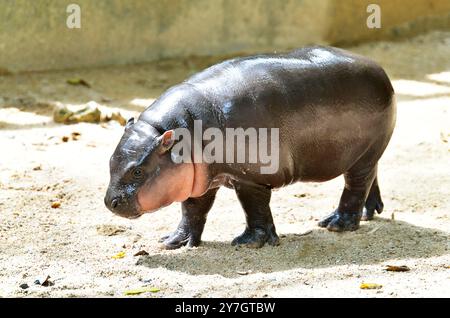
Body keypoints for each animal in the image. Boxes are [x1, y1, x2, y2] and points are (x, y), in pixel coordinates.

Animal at [103, 47, 396, 250]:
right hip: (363, 154)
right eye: (110, 161)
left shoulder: (250, 178)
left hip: (364, 156)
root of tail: (379, 69)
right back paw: (370, 213)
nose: (109, 202)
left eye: (138, 171)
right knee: (372, 177)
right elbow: (193, 210)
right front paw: (173, 241)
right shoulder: (199, 178)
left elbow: (254, 208)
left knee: (355, 186)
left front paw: (250, 242)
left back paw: (336, 224)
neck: (182, 131)